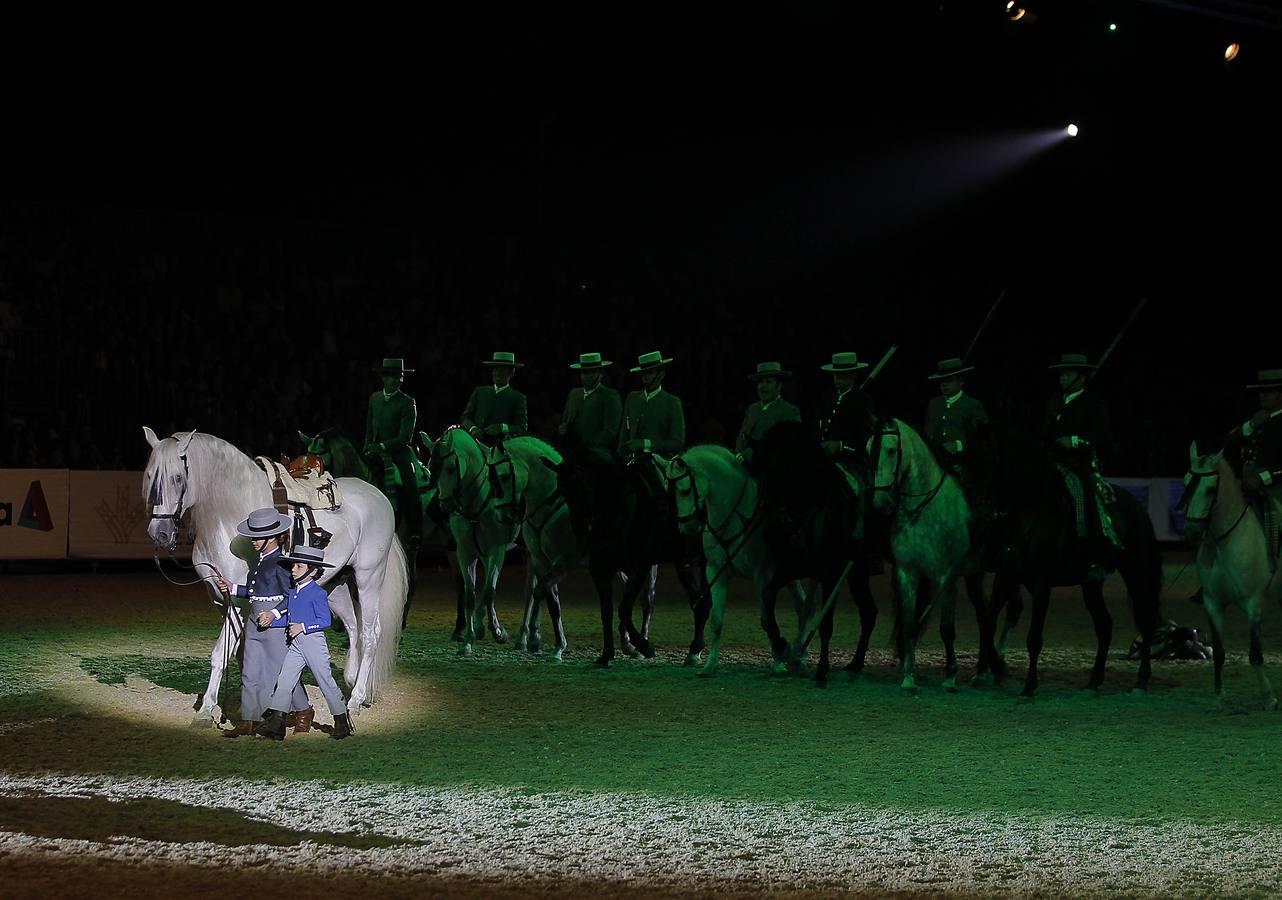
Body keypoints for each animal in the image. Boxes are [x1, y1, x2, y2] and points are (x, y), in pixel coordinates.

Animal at [143, 425, 407, 723]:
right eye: (150, 476)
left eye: (178, 477)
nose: (160, 533)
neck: (229, 519)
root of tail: (379, 496)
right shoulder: (221, 599)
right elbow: (239, 651)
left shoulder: (239, 602)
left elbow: (220, 653)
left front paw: (208, 708)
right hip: (333, 585)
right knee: (353, 625)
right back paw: (350, 680)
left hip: (368, 577)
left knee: (371, 632)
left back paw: (357, 699)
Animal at [1184, 443, 1276, 712]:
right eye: (1187, 484)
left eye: (1210, 489)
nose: (1191, 532)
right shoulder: (1213, 603)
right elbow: (1219, 653)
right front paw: (1218, 697)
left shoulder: (1254, 603)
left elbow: (1255, 654)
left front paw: (1268, 697)